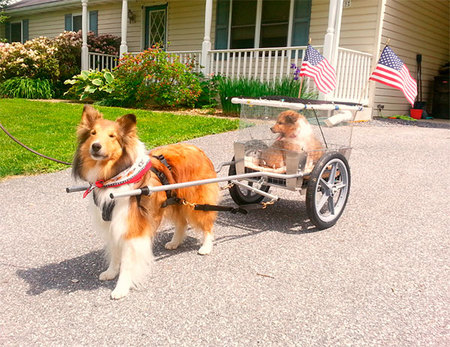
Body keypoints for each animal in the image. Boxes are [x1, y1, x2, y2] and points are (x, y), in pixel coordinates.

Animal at [73, 105, 219, 300]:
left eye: (112, 136)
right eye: (92, 133)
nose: (95, 146)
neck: (114, 178)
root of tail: (198, 149)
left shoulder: (131, 228)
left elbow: (127, 262)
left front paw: (121, 288)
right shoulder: (113, 224)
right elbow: (115, 254)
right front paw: (111, 272)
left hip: (195, 201)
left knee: (207, 223)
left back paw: (206, 247)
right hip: (174, 201)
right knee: (181, 222)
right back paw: (174, 242)